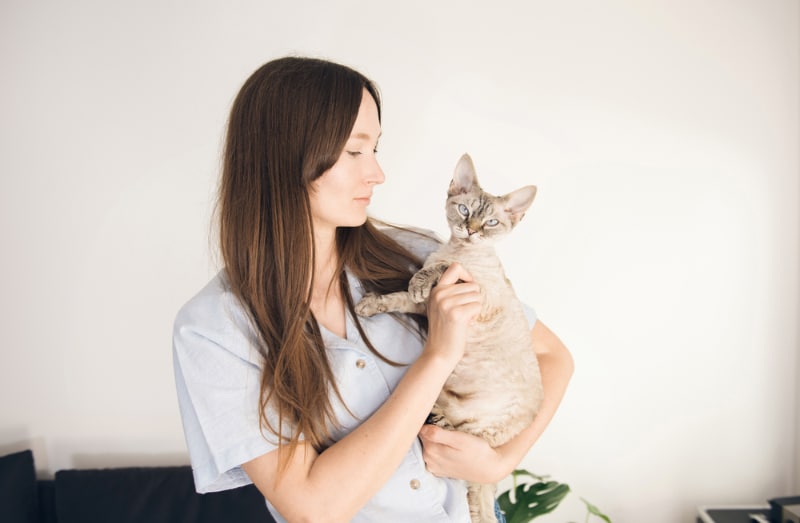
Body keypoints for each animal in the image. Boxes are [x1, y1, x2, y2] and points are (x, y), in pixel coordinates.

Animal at [356, 152, 544, 523]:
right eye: (465, 210)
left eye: (491, 223)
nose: (471, 230)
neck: (458, 250)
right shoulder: (425, 307)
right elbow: (399, 296)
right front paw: (371, 304)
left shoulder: (478, 292)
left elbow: (443, 271)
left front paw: (424, 278)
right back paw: (436, 413)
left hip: (481, 434)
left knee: (466, 466)